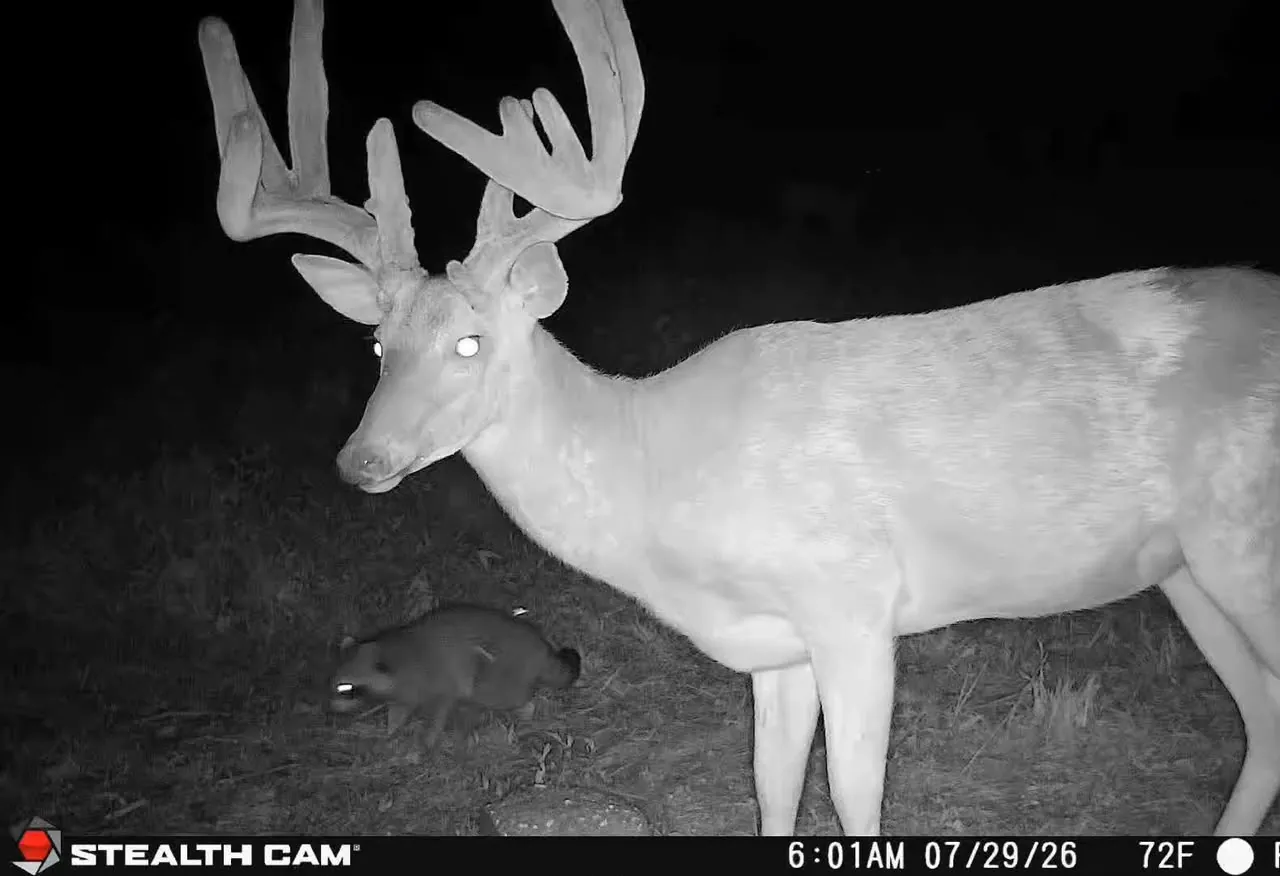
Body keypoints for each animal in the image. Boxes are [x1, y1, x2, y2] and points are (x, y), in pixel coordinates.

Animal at [198, 0, 1279, 836]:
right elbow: (769, 791)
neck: (658, 477)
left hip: (1242, 543)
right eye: (377, 346)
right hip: (1184, 572)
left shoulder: (851, 600)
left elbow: (852, 798)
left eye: (470, 343)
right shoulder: (776, 645)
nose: (362, 459)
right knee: (1263, 719)